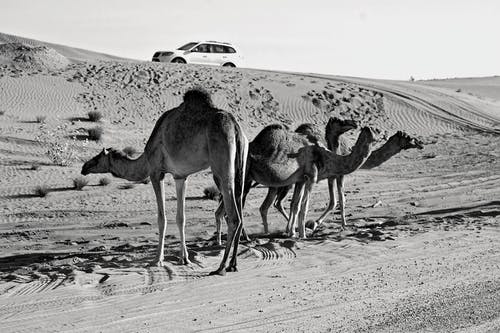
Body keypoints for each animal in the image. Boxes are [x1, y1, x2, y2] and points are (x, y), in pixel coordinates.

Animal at [81, 89, 250, 274]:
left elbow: (162, 219)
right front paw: (184, 258)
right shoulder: (180, 176)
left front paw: (157, 260)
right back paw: (233, 264)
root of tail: (235, 127)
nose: (84, 167)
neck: (145, 159)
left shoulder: (156, 173)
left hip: (221, 167)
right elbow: (181, 218)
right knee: (240, 211)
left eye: (97, 158)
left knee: (233, 217)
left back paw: (221, 266)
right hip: (241, 166)